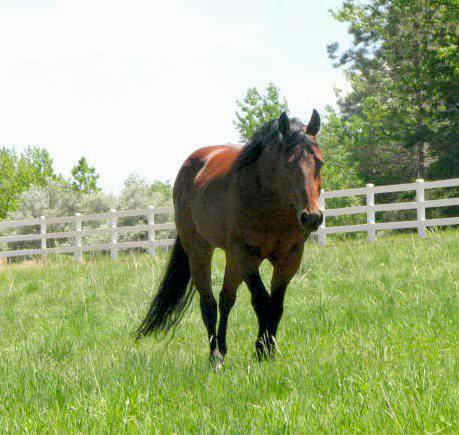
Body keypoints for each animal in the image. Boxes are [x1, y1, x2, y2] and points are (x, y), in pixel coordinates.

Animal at [137, 110, 324, 366]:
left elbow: (275, 305)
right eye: (287, 165)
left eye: (320, 162)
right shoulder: (246, 256)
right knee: (209, 303)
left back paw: (223, 349)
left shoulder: (290, 257)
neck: (268, 203)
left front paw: (269, 350)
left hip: (231, 258)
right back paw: (214, 356)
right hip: (200, 251)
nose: (312, 217)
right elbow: (261, 301)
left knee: (226, 299)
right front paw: (261, 350)